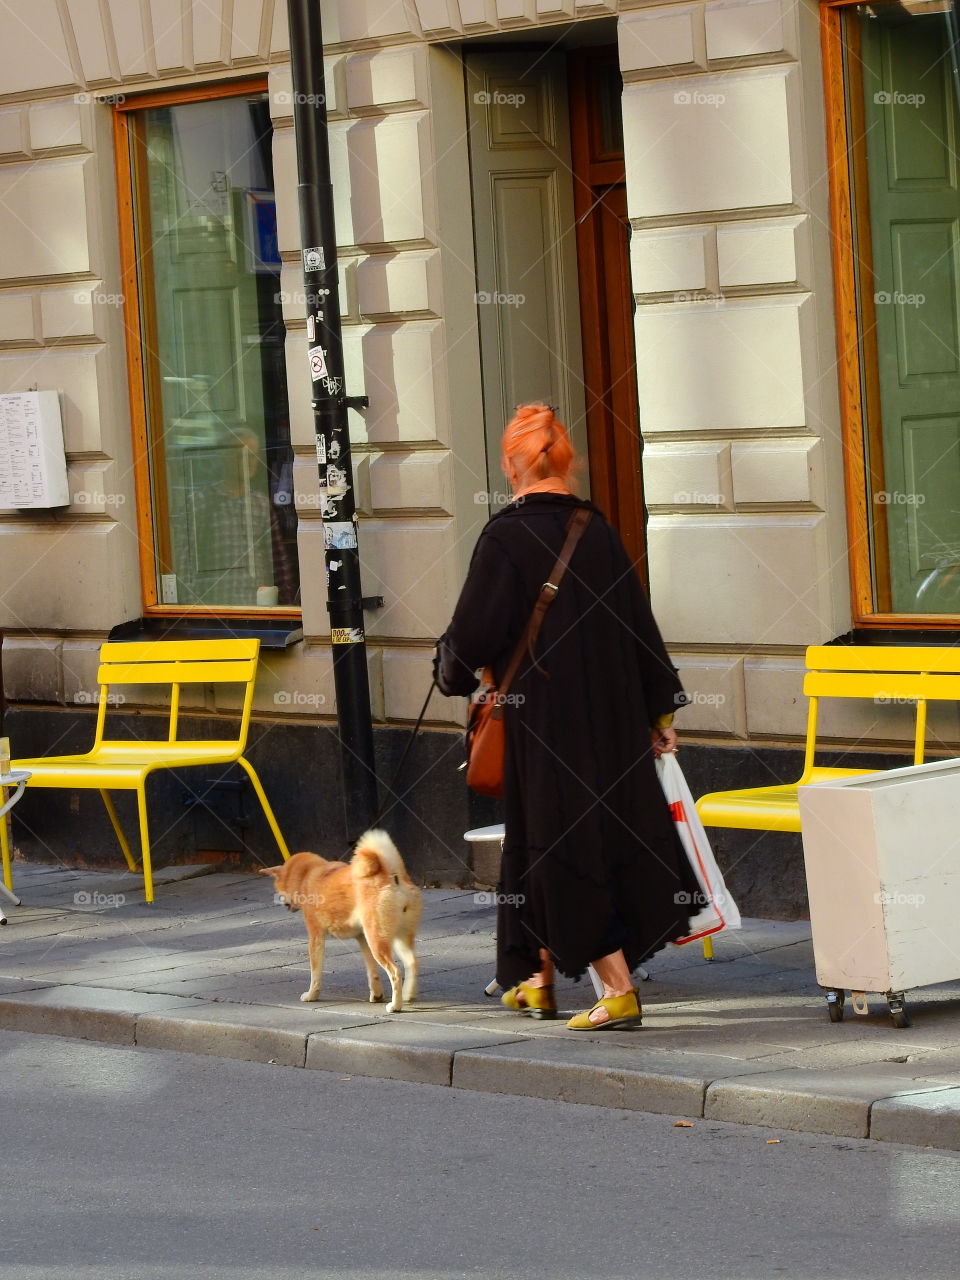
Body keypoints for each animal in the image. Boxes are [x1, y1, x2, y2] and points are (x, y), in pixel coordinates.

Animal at [259, 829, 419, 1008]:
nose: (281, 902)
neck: (307, 876)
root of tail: (392, 876)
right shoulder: (362, 938)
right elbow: (372, 971)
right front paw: (377, 995)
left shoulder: (316, 937)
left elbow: (315, 973)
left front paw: (312, 995)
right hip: (396, 939)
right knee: (412, 963)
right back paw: (407, 995)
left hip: (377, 941)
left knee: (395, 972)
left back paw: (395, 1006)